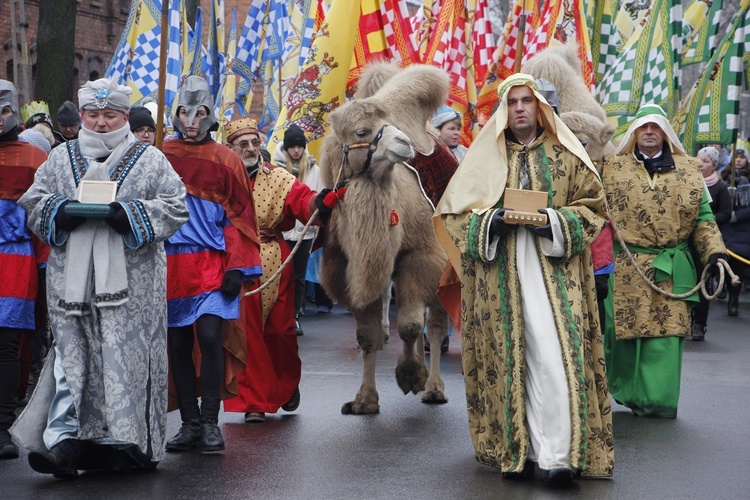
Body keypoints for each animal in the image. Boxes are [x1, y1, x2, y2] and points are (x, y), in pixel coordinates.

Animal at [318, 65, 452, 414]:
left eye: (387, 123)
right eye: (362, 132)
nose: (405, 143)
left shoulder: (422, 255)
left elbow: (409, 326)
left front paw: (411, 375)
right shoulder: (351, 268)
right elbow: (368, 337)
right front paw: (364, 400)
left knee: (434, 324)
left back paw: (434, 387)